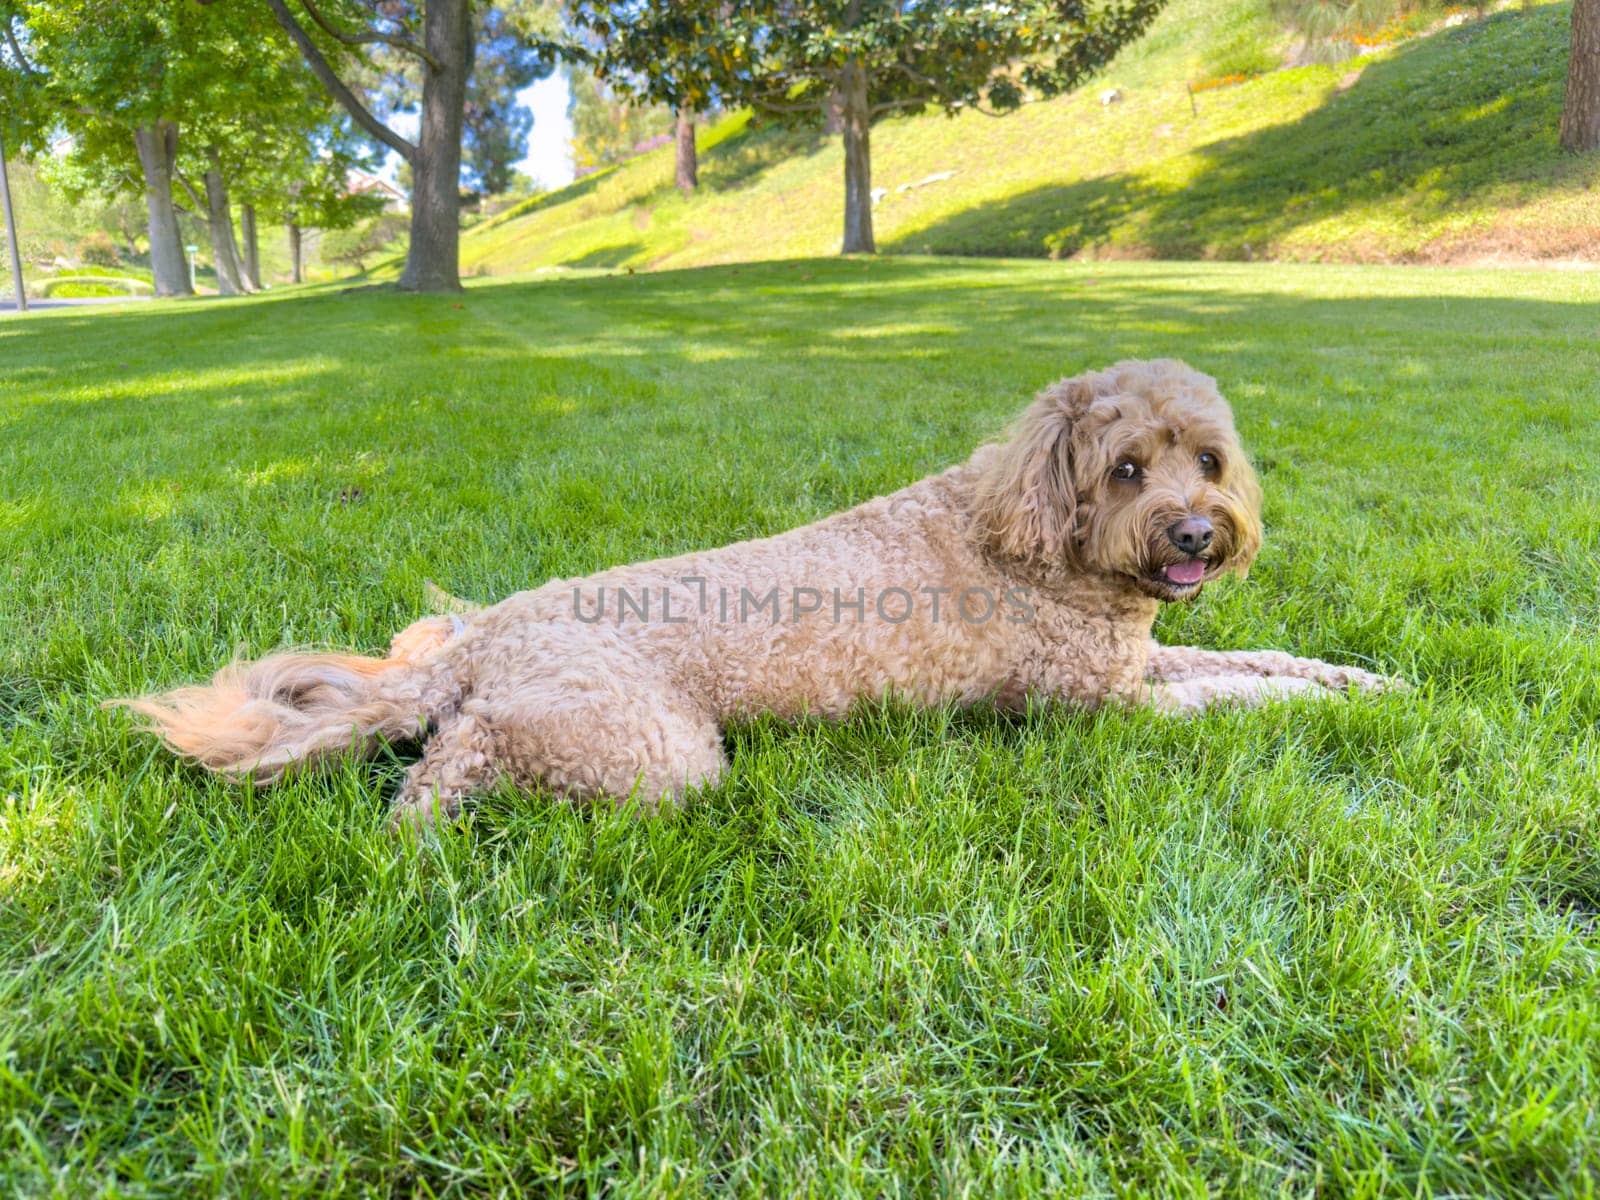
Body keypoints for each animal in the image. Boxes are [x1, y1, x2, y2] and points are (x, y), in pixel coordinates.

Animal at [118, 356, 1395, 825]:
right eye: (1127, 466)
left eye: (1209, 460)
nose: (1196, 532)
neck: (1034, 542)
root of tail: (481, 647)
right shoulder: (1103, 706)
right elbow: (1236, 696)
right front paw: (1325, 706)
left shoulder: (1141, 657)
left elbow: (1261, 662)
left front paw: (1363, 681)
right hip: (648, 747)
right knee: (461, 757)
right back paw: (419, 833)